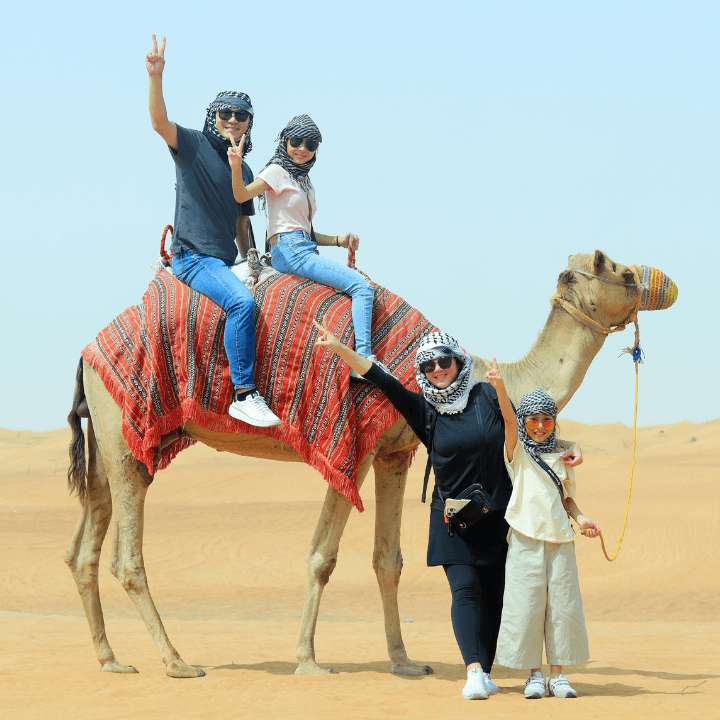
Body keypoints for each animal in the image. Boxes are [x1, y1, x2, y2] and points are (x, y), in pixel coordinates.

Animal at [65, 250, 675, 678]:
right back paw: (177, 661)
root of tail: (87, 354)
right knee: (126, 555)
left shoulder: (394, 453)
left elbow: (389, 560)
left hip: (106, 442)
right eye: (619, 269)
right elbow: (322, 556)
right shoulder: (350, 449)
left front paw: (404, 661)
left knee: (82, 550)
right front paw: (308, 660)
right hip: (127, 435)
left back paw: (110, 659)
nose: (665, 283)